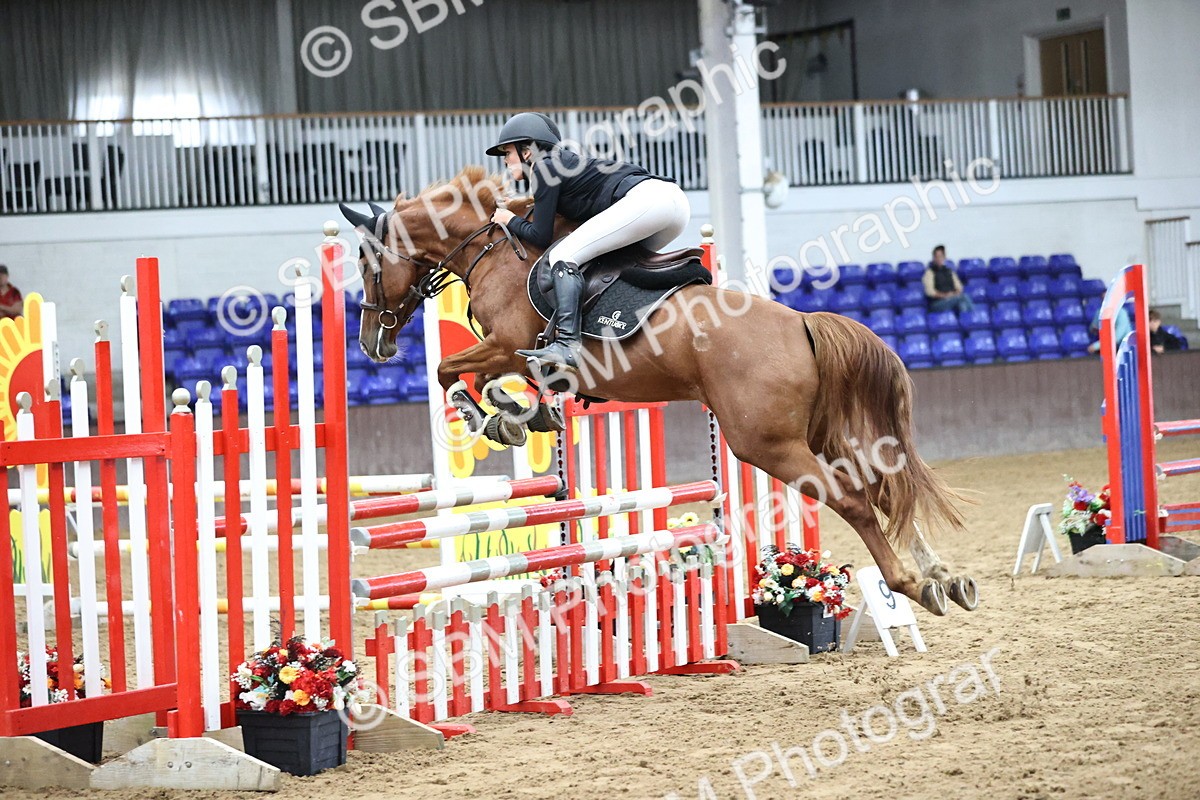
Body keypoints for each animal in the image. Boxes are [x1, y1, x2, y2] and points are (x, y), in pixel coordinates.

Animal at [341, 166, 978, 617]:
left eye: (368, 262)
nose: (373, 341)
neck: (494, 253)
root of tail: (800, 322)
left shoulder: (505, 344)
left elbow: (452, 372)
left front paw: (493, 416)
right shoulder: (509, 353)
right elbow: (490, 380)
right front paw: (521, 416)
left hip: (764, 442)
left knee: (853, 499)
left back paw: (912, 585)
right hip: (815, 431)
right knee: (884, 486)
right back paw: (945, 578)